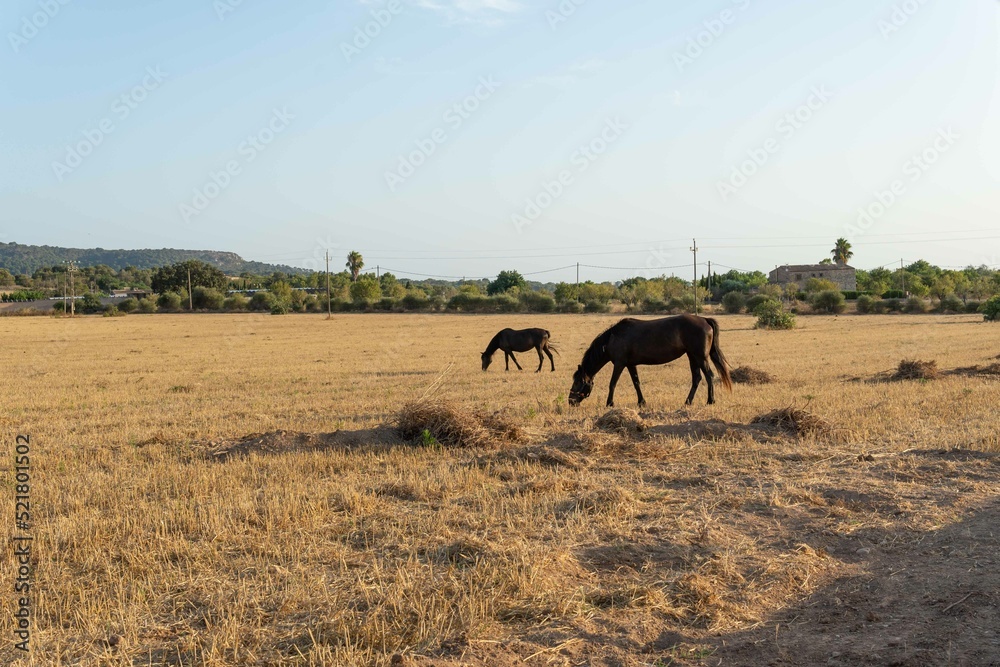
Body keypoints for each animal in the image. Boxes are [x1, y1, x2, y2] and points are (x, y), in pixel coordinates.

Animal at [568, 315, 732, 407]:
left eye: (577, 382)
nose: (570, 401)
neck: (612, 338)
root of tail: (704, 320)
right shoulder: (630, 364)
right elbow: (636, 383)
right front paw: (642, 402)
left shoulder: (620, 364)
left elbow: (612, 383)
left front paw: (609, 403)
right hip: (692, 356)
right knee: (697, 378)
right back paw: (688, 402)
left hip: (700, 357)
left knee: (709, 376)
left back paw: (710, 400)